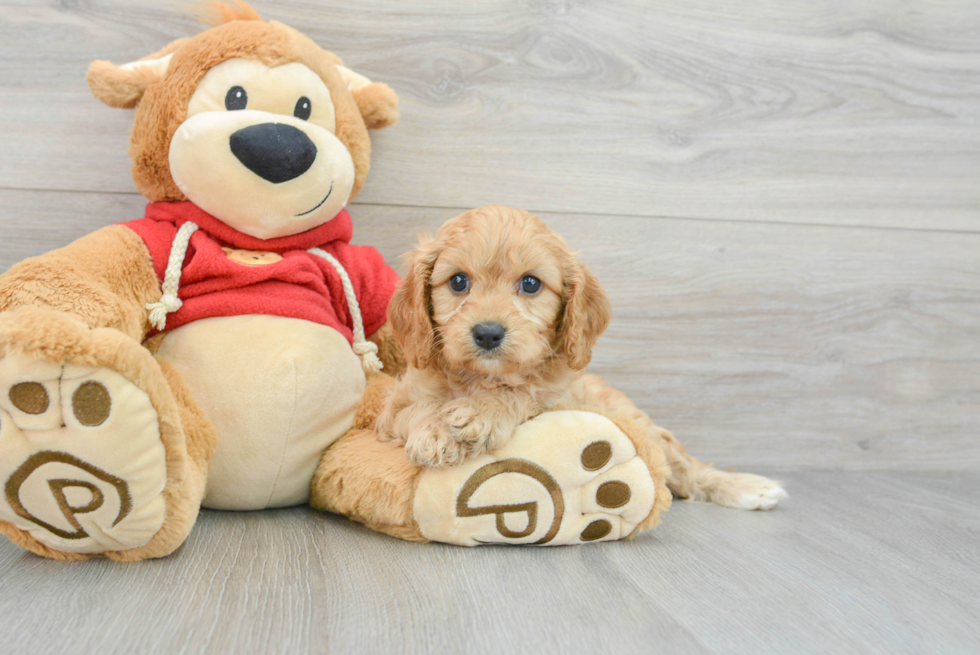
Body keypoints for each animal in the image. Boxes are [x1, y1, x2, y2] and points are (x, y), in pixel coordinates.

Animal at [378, 206, 788, 512]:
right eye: (458, 282)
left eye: (530, 283)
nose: (488, 333)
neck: (483, 378)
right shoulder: (391, 412)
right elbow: (416, 410)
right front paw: (436, 431)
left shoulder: (561, 403)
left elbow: (524, 391)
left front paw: (479, 412)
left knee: (687, 470)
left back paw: (747, 488)